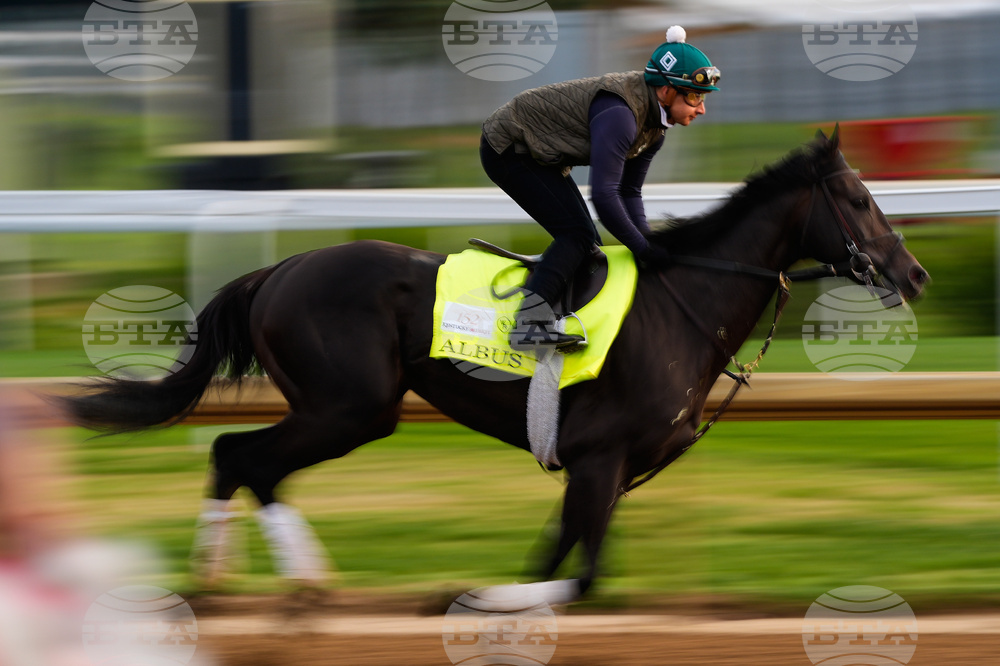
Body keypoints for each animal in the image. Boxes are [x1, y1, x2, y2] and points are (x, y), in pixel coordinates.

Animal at [60, 129, 929, 607]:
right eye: (857, 199)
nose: (914, 273)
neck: (683, 302)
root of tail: (277, 271)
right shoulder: (601, 459)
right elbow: (578, 580)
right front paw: (471, 598)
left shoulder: (600, 468)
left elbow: (561, 563)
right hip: (350, 408)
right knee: (242, 456)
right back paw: (279, 582)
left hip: (340, 408)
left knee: (237, 458)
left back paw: (251, 582)